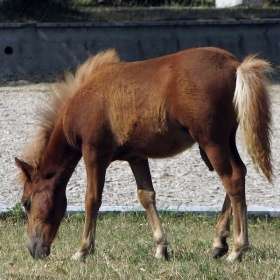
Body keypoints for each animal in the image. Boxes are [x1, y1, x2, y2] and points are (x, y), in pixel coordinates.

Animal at [15, 46, 274, 262]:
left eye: (26, 202)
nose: (33, 249)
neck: (84, 101)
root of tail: (235, 65)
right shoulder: (136, 157)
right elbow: (146, 196)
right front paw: (161, 248)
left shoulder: (94, 154)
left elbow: (92, 199)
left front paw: (83, 250)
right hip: (224, 140)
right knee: (239, 173)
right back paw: (219, 242)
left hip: (211, 140)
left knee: (232, 178)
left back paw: (237, 249)